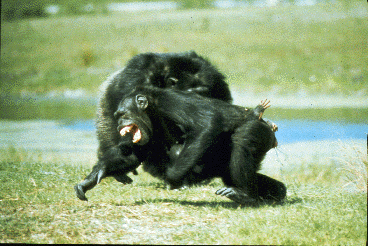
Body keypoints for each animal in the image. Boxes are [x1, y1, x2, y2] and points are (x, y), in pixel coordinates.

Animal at [110, 86, 286, 204]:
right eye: (118, 115)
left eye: (123, 114)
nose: (119, 124)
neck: (151, 109)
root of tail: (272, 134)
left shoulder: (171, 102)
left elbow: (207, 123)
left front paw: (172, 177)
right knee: (229, 172)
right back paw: (277, 192)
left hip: (261, 132)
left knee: (243, 138)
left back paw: (245, 195)